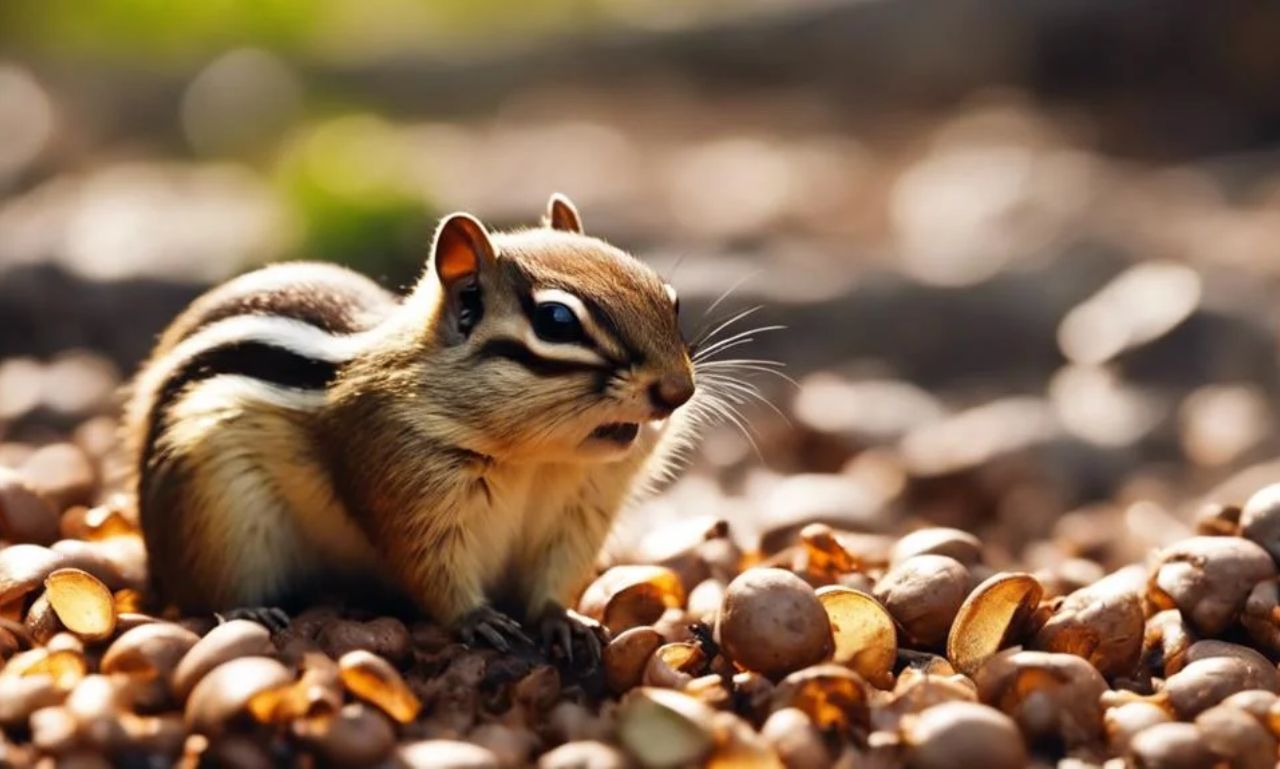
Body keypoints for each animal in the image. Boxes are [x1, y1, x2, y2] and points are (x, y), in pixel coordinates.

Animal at [123, 194, 698, 658]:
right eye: (557, 321)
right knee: (203, 593)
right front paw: (478, 619)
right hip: (215, 515)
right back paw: (248, 612)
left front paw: (563, 620)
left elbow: (553, 579)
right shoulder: (409, 493)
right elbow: (432, 570)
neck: (538, 459)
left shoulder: (578, 510)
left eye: (670, 300)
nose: (679, 391)